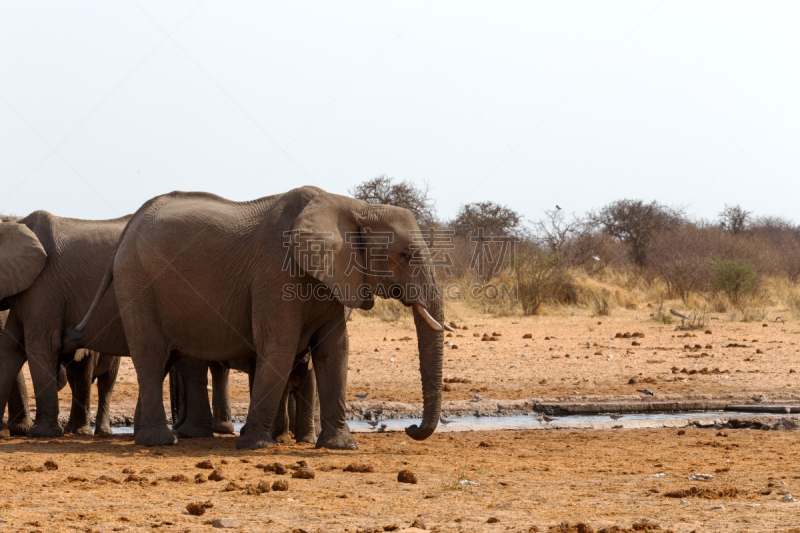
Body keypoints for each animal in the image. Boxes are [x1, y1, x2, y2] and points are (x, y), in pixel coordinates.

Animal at [70, 187, 450, 448]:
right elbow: (280, 346)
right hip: (137, 281)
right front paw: (255, 445)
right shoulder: (275, 273)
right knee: (151, 354)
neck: (353, 207)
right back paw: (161, 441)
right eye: (405, 254)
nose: (411, 429)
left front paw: (341, 447)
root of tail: (129, 226)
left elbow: (335, 352)